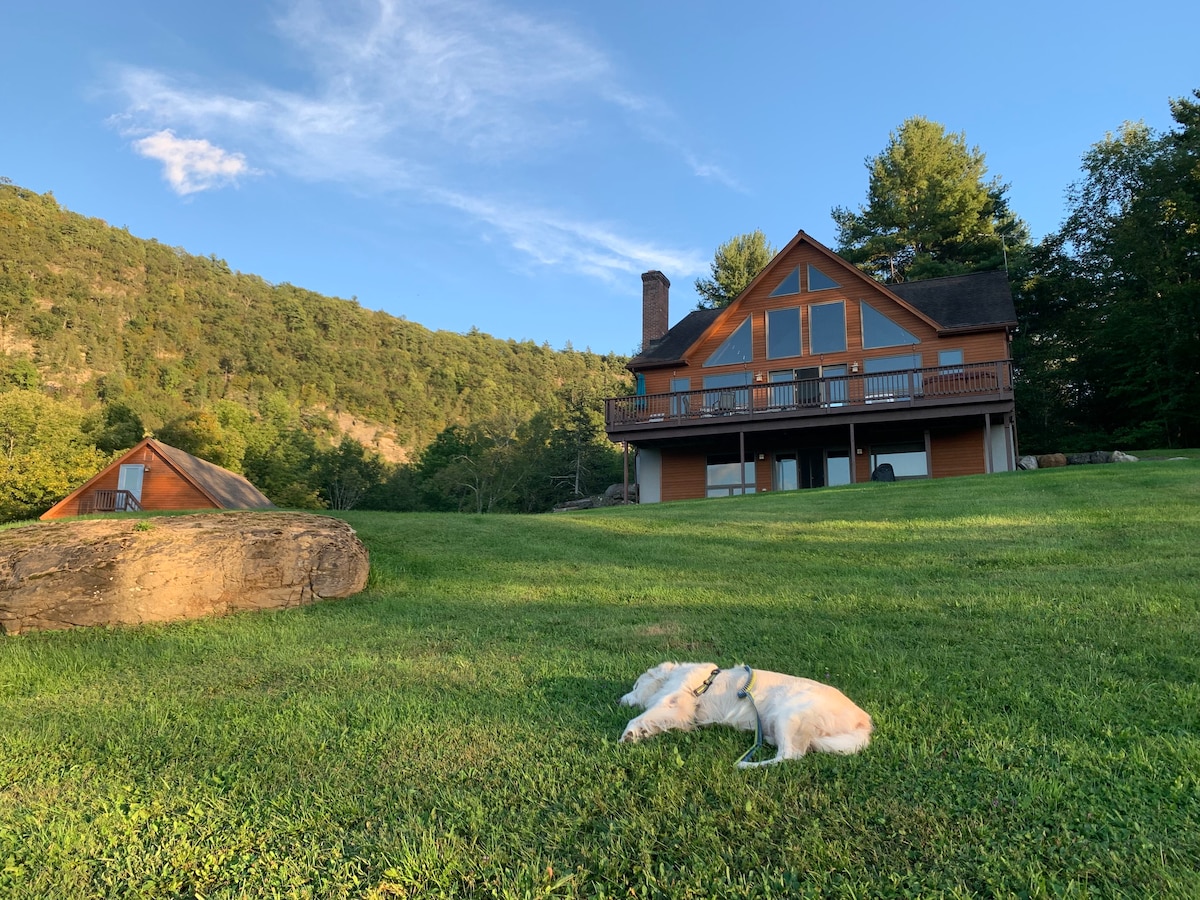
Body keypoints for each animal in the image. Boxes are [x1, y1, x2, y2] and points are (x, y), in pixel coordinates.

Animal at [619, 662, 873, 768]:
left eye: (635, 686)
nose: (618, 700)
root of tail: (864, 721)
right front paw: (640, 733)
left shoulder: (674, 699)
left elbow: (640, 717)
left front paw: (628, 734)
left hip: (788, 713)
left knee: (790, 756)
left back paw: (744, 764)